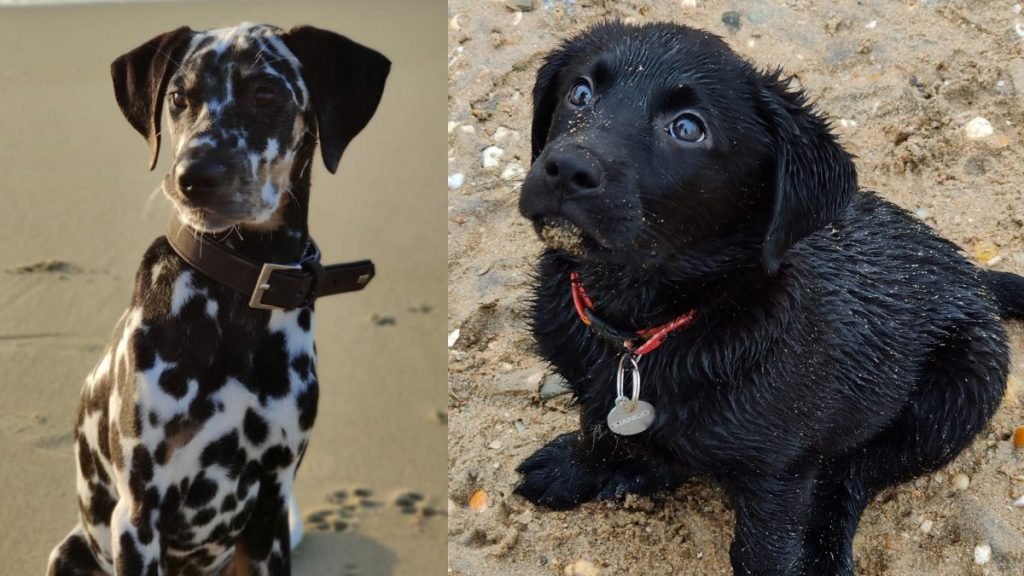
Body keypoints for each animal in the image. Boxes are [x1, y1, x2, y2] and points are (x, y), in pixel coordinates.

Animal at [45, 23, 387, 573]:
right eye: (178, 98)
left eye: (266, 93)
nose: (193, 177)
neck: (236, 296)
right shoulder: (139, 515)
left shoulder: (269, 507)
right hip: (73, 549)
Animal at [520, 21, 1024, 573]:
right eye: (580, 93)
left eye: (688, 128)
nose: (566, 168)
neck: (645, 327)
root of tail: (972, 273)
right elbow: (598, 427)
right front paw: (579, 467)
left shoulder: (779, 471)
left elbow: (763, 548)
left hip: (952, 400)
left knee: (851, 475)